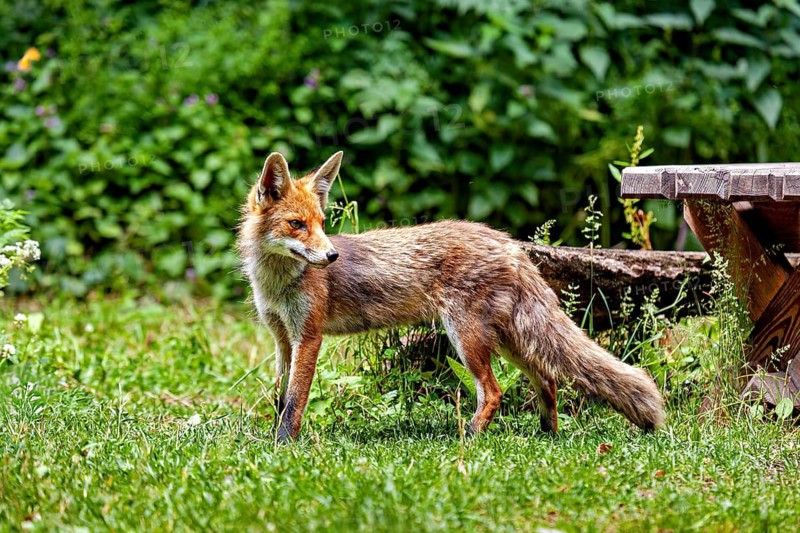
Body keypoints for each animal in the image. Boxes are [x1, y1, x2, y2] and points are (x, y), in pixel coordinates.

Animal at [237, 151, 666, 442]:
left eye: (322, 224)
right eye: (297, 224)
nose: (331, 257)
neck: (276, 283)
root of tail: (509, 243)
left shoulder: (308, 337)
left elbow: (294, 401)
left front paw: (284, 446)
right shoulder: (282, 339)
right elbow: (279, 396)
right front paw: (273, 437)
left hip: (467, 337)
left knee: (494, 391)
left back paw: (471, 438)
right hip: (509, 340)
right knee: (547, 379)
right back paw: (547, 433)